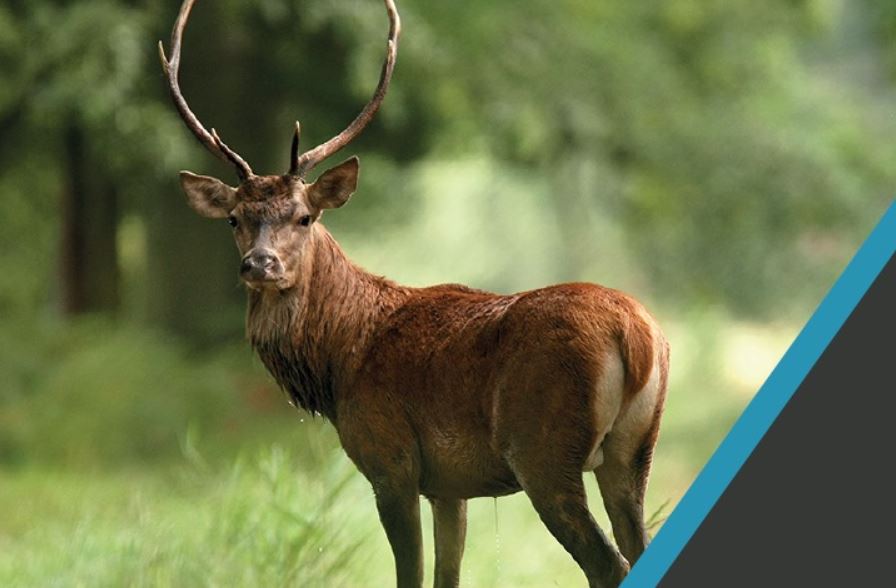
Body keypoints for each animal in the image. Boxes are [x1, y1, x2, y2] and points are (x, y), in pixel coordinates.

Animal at [159, 1, 669, 587]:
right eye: (235, 219)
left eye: (305, 216)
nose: (259, 264)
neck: (338, 362)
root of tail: (637, 336)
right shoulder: (449, 485)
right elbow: (447, 573)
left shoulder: (391, 460)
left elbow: (410, 572)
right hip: (635, 451)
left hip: (544, 448)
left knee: (609, 562)